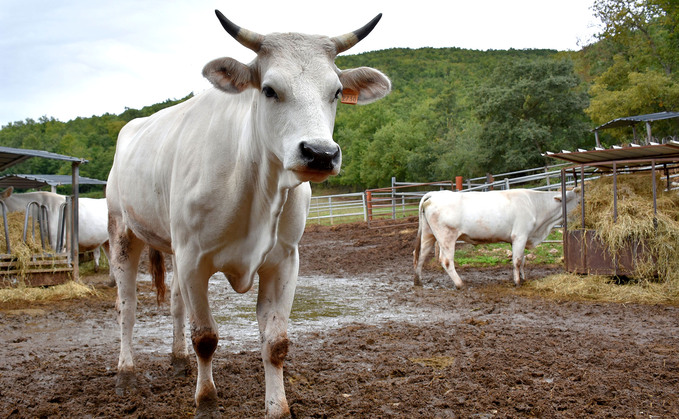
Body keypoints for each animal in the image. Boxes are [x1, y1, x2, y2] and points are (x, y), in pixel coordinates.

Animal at [107, 10, 394, 419]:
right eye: (269, 89)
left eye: (337, 91)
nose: (320, 153)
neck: (255, 188)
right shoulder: (194, 260)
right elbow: (206, 337)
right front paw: (207, 403)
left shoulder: (284, 261)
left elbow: (275, 343)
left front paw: (278, 408)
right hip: (122, 231)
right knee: (127, 305)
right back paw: (126, 373)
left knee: (176, 302)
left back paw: (178, 361)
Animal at [412, 189, 580, 288]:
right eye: (578, 200)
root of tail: (434, 194)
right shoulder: (520, 235)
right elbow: (517, 261)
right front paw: (517, 282)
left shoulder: (520, 238)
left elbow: (523, 259)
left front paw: (523, 278)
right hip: (447, 236)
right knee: (446, 260)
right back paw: (460, 284)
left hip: (428, 234)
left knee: (420, 255)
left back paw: (418, 281)